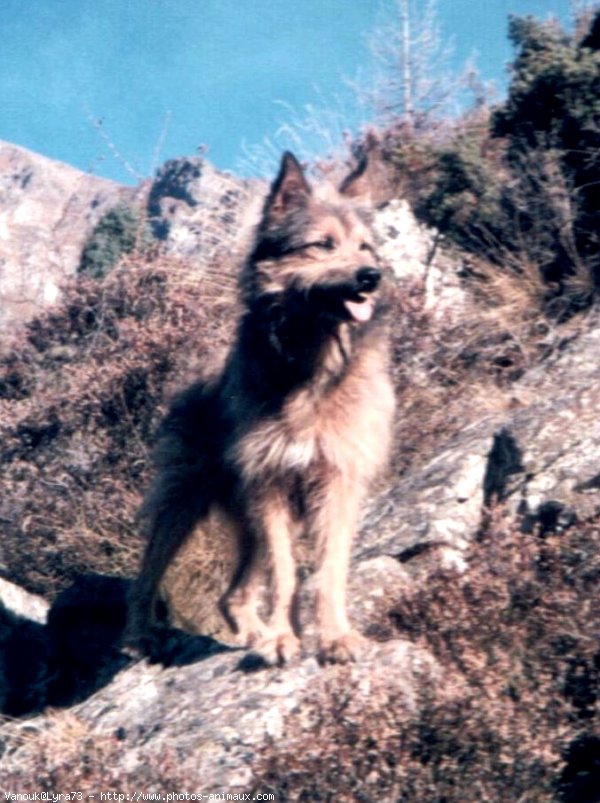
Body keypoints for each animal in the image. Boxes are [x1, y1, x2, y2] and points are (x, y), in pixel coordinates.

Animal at [126, 151, 396, 664]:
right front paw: (283, 639)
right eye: (322, 245)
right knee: (147, 572)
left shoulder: (337, 480)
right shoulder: (270, 484)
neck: (308, 366)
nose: (372, 277)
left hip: (244, 515)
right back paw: (141, 635)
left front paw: (335, 636)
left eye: (366, 248)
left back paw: (251, 631)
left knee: (231, 595)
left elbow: (328, 571)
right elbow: (286, 572)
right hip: (185, 500)